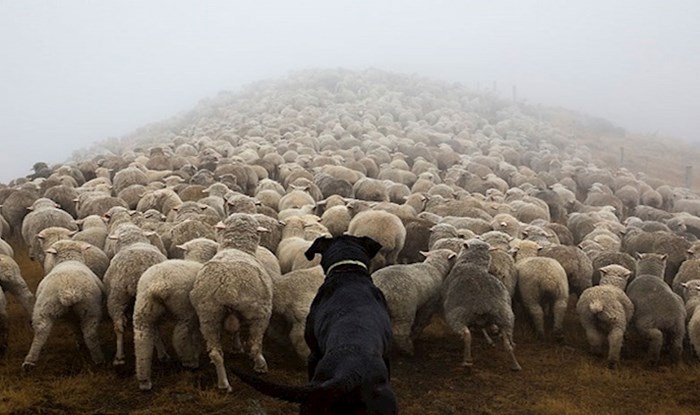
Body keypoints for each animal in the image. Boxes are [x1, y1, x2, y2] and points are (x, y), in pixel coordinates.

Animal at [22, 240, 104, 370]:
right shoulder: (72, 316)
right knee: (89, 333)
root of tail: (69, 289)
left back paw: (29, 361)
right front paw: (80, 342)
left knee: (41, 332)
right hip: (89, 308)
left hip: (45, 308)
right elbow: (76, 328)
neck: (69, 260)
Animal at [102, 226, 167, 366]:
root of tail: (137, 273)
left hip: (115, 297)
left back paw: (119, 357)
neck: (133, 241)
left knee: (118, 327)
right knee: (153, 326)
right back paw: (162, 354)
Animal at [133, 260, 204, 390]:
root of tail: (158, 285)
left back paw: (144, 380)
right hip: (183, 308)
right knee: (179, 337)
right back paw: (189, 361)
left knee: (142, 342)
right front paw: (196, 352)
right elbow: (196, 336)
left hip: (144, 310)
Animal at [189, 213, 274, 392]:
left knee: (215, 353)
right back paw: (260, 365)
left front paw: (236, 347)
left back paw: (224, 384)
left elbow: (236, 330)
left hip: (208, 315)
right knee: (255, 345)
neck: (236, 247)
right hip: (261, 312)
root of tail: (227, 285)